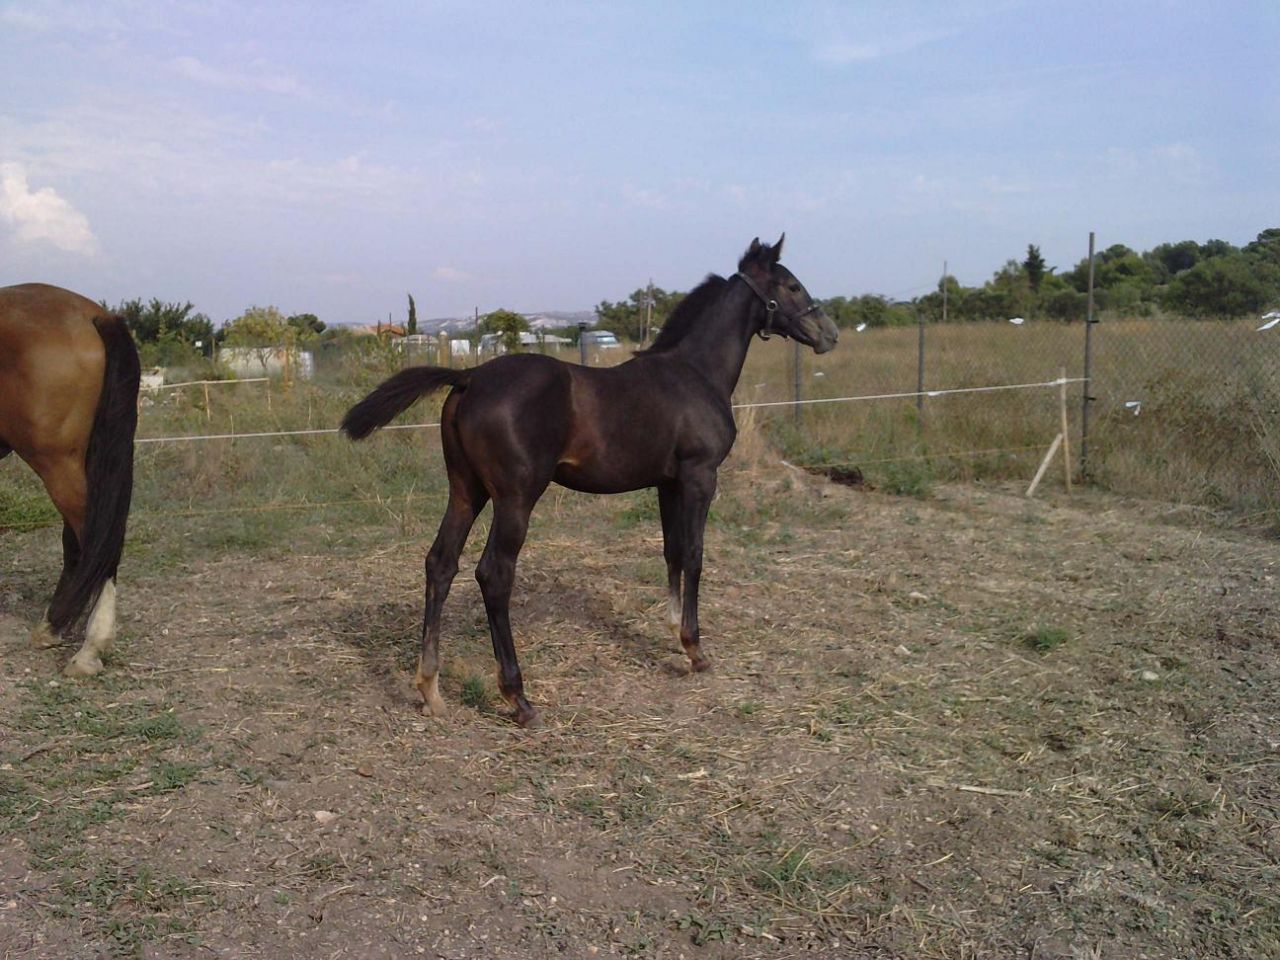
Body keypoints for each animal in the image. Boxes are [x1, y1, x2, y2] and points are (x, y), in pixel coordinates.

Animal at [342, 236, 838, 727]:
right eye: (792, 286)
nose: (828, 334)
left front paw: (674, 635)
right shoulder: (701, 476)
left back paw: (430, 688)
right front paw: (695, 650)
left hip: (467, 491)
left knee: (441, 563)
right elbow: (696, 554)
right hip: (516, 498)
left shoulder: (667, 483)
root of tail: (469, 376)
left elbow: (673, 552)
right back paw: (518, 698)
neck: (695, 373)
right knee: (494, 574)